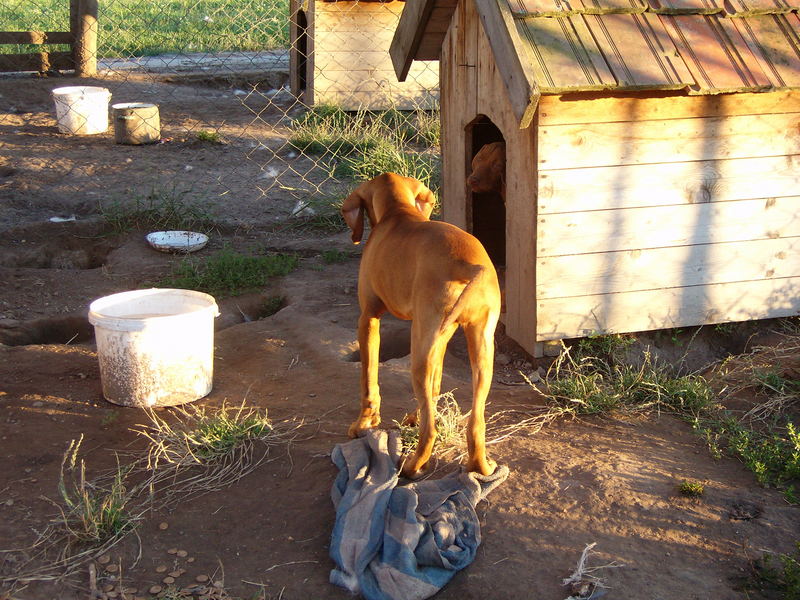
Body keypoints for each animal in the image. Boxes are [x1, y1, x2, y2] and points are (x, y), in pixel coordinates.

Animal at [342, 172, 504, 478]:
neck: (397, 213)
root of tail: (469, 265)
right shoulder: (440, 338)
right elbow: (436, 386)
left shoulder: (368, 319)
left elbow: (368, 380)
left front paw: (363, 424)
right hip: (476, 347)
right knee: (474, 422)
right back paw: (480, 466)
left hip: (419, 350)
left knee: (431, 429)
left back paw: (412, 466)